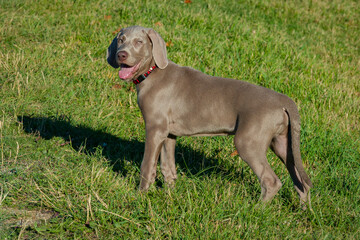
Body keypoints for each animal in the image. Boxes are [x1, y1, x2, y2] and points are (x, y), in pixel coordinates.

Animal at [106, 25, 312, 205]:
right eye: (121, 40)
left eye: (139, 42)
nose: (121, 54)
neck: (152, 72)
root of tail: (283, 100)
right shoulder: (169, 133)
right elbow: (168, 167)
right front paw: (170, 194)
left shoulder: (155, 129)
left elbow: (147, 165)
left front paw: (140, 196)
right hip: (283, 143)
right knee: (301, 181)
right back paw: (304, 211)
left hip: (248, 141)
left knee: (271, 181)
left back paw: (256, 209)